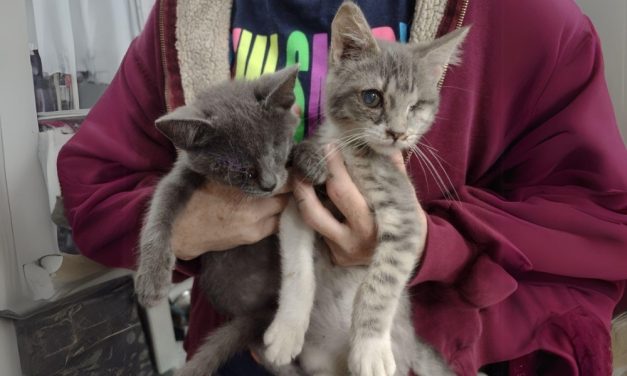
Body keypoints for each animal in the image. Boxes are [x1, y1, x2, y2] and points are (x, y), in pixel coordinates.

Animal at [136, 67, 306, 376]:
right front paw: (152, 280)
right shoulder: (182, 175)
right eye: (238, 169)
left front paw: (312, 157)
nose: (270, 184)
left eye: (276, 148)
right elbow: (160, 207)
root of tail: (258, 310)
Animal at [262, 2, 468, 376]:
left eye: (415, 107)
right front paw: (286, 332)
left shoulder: (406, 217)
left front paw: (370, 348)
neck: (348, 150)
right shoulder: (300, 203)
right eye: (372, 97)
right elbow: (298, 272)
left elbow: (381, 284)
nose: (398, 133)